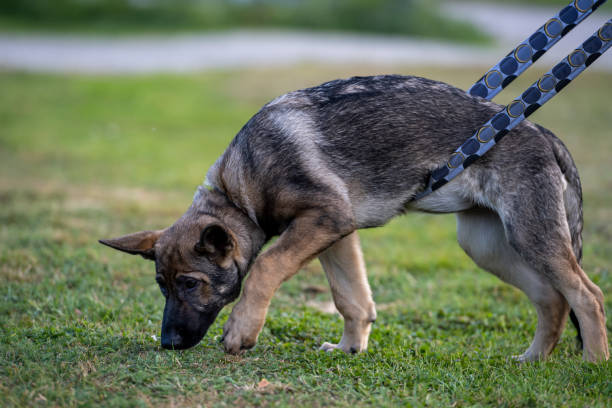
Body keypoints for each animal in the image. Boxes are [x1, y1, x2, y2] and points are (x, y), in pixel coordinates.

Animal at [99, 75, 608, 362]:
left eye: (191, 284)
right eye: (162, 286)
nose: (167, 343)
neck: (240, 187)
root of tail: (543, 133)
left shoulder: (324, 220)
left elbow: (264, 267)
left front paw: (242, 330)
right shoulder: (336, 234)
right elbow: (351, 299)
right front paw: (349, 350)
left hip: (530, 236)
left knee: (587, 294)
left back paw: (593, 364)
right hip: (489, 246)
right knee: (552, 298)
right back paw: (534, 358)